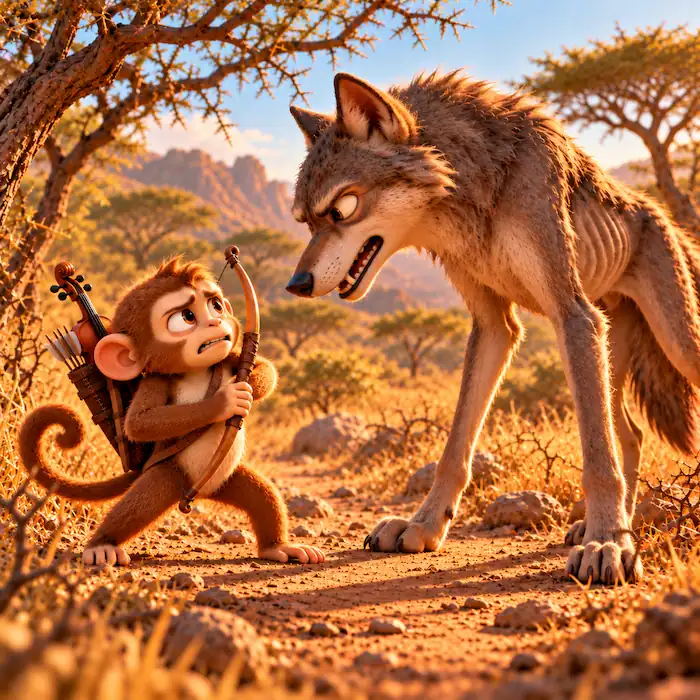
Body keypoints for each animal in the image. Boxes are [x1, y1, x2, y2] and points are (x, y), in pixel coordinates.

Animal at [19, 258, 325, 567]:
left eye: (216, 305)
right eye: (186, 317)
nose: (216, 321)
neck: (198, 371)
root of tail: (200, 492)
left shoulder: (229, 358)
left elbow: (266, 369)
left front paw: (247, 385)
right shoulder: (156, 381)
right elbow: (139, 423)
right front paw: (226, 400)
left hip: (229, 479)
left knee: (263, 495)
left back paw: (280, 548)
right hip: (167, 476)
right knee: (138, 504)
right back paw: (101, 548)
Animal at [285, 71, 700, 585]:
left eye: (342, 209)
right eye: (305, 222)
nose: (297, 284)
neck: (475, 184)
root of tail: (661, 213)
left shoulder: (573, 314)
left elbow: (596, 458)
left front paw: (608, 546)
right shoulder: (495, 325)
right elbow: (454, 449)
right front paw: (423, 526)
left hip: (672, 344)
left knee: (622, 433)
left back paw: (605, 530)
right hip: (609, 355)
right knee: (632, 434)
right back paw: (593, 525)